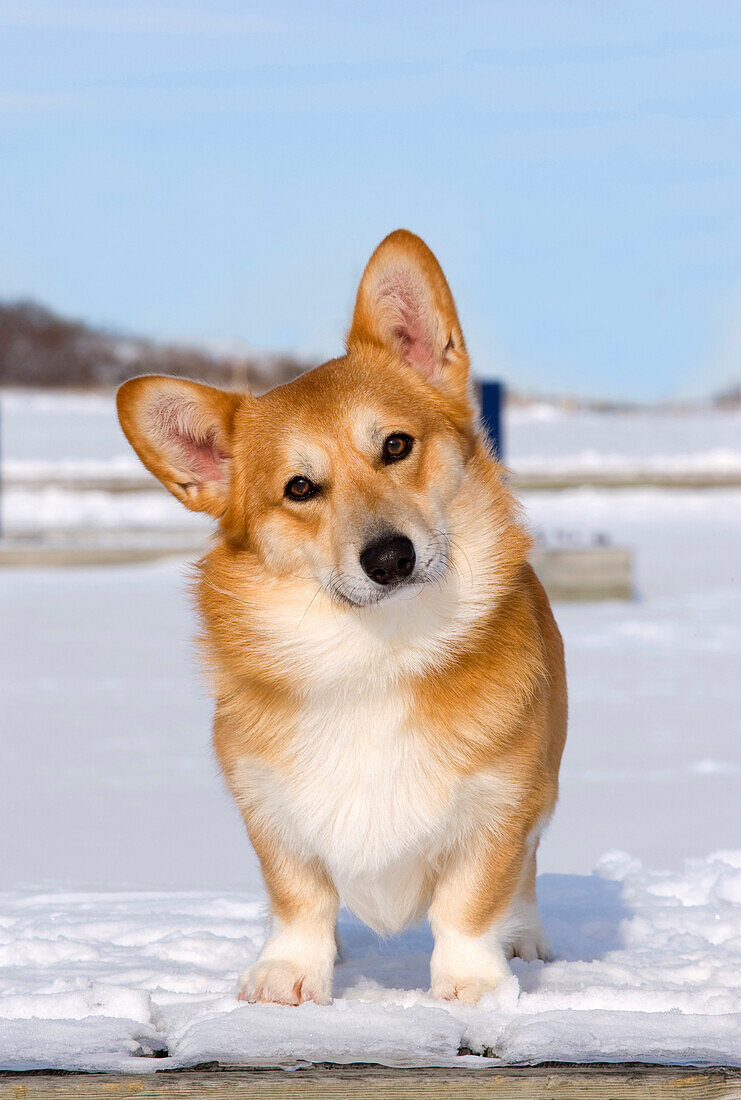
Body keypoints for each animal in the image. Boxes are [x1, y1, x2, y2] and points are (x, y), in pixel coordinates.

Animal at [117, 229, 567, 1007]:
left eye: (396, 445)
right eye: (300, 488)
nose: (389, 557)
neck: (376, 652)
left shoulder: (501, 803)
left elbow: (469, 903)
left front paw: (474, 983)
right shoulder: (270, 809)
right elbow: (299, 899)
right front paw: (289, 974)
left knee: (529, 873)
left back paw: (526, 938)